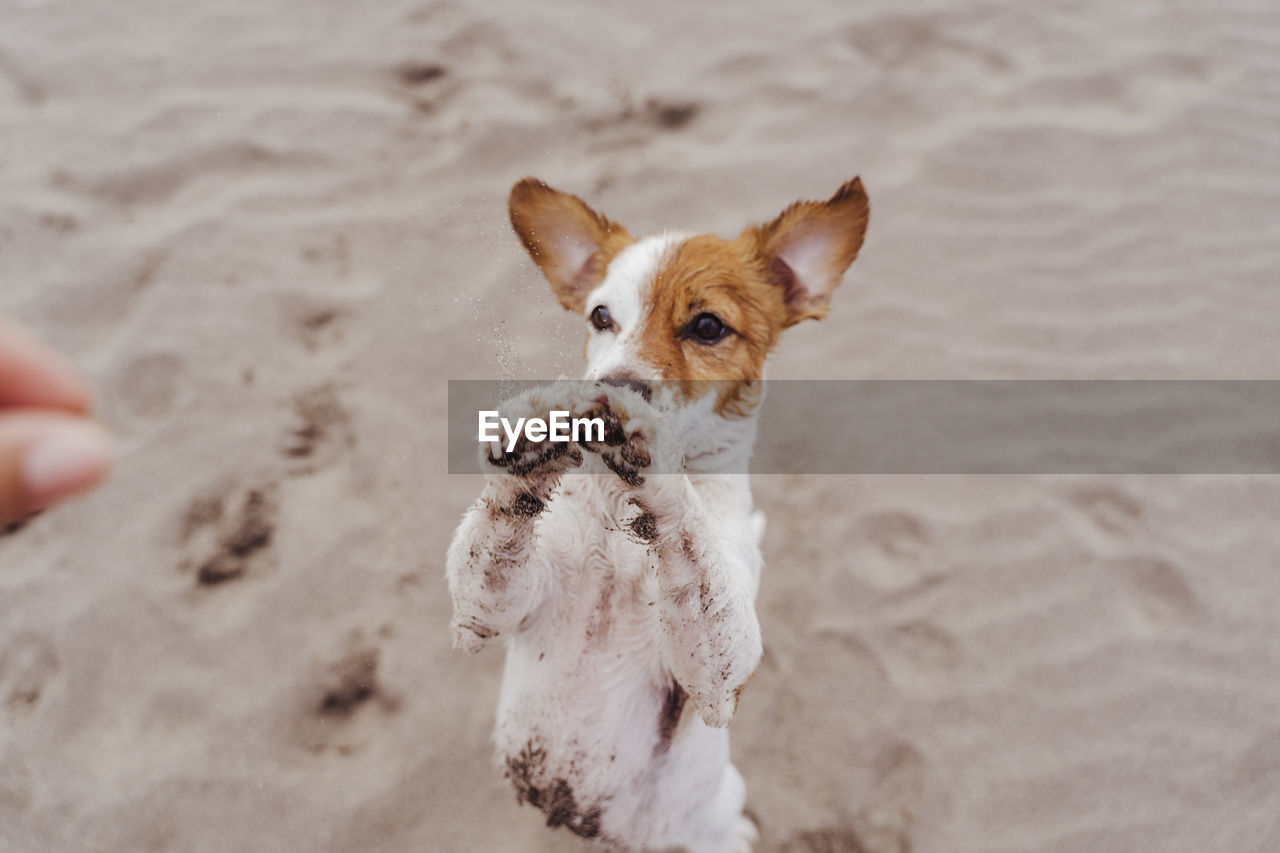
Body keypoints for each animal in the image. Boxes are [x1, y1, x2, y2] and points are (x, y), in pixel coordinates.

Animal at [442, 174, 870, 850]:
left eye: (707, 326)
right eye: (601, 316)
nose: (616, 383)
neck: (620, 531)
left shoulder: (719, 681)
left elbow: (694, 547)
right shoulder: (487, 614)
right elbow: (493, 540)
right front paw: (528, 441)